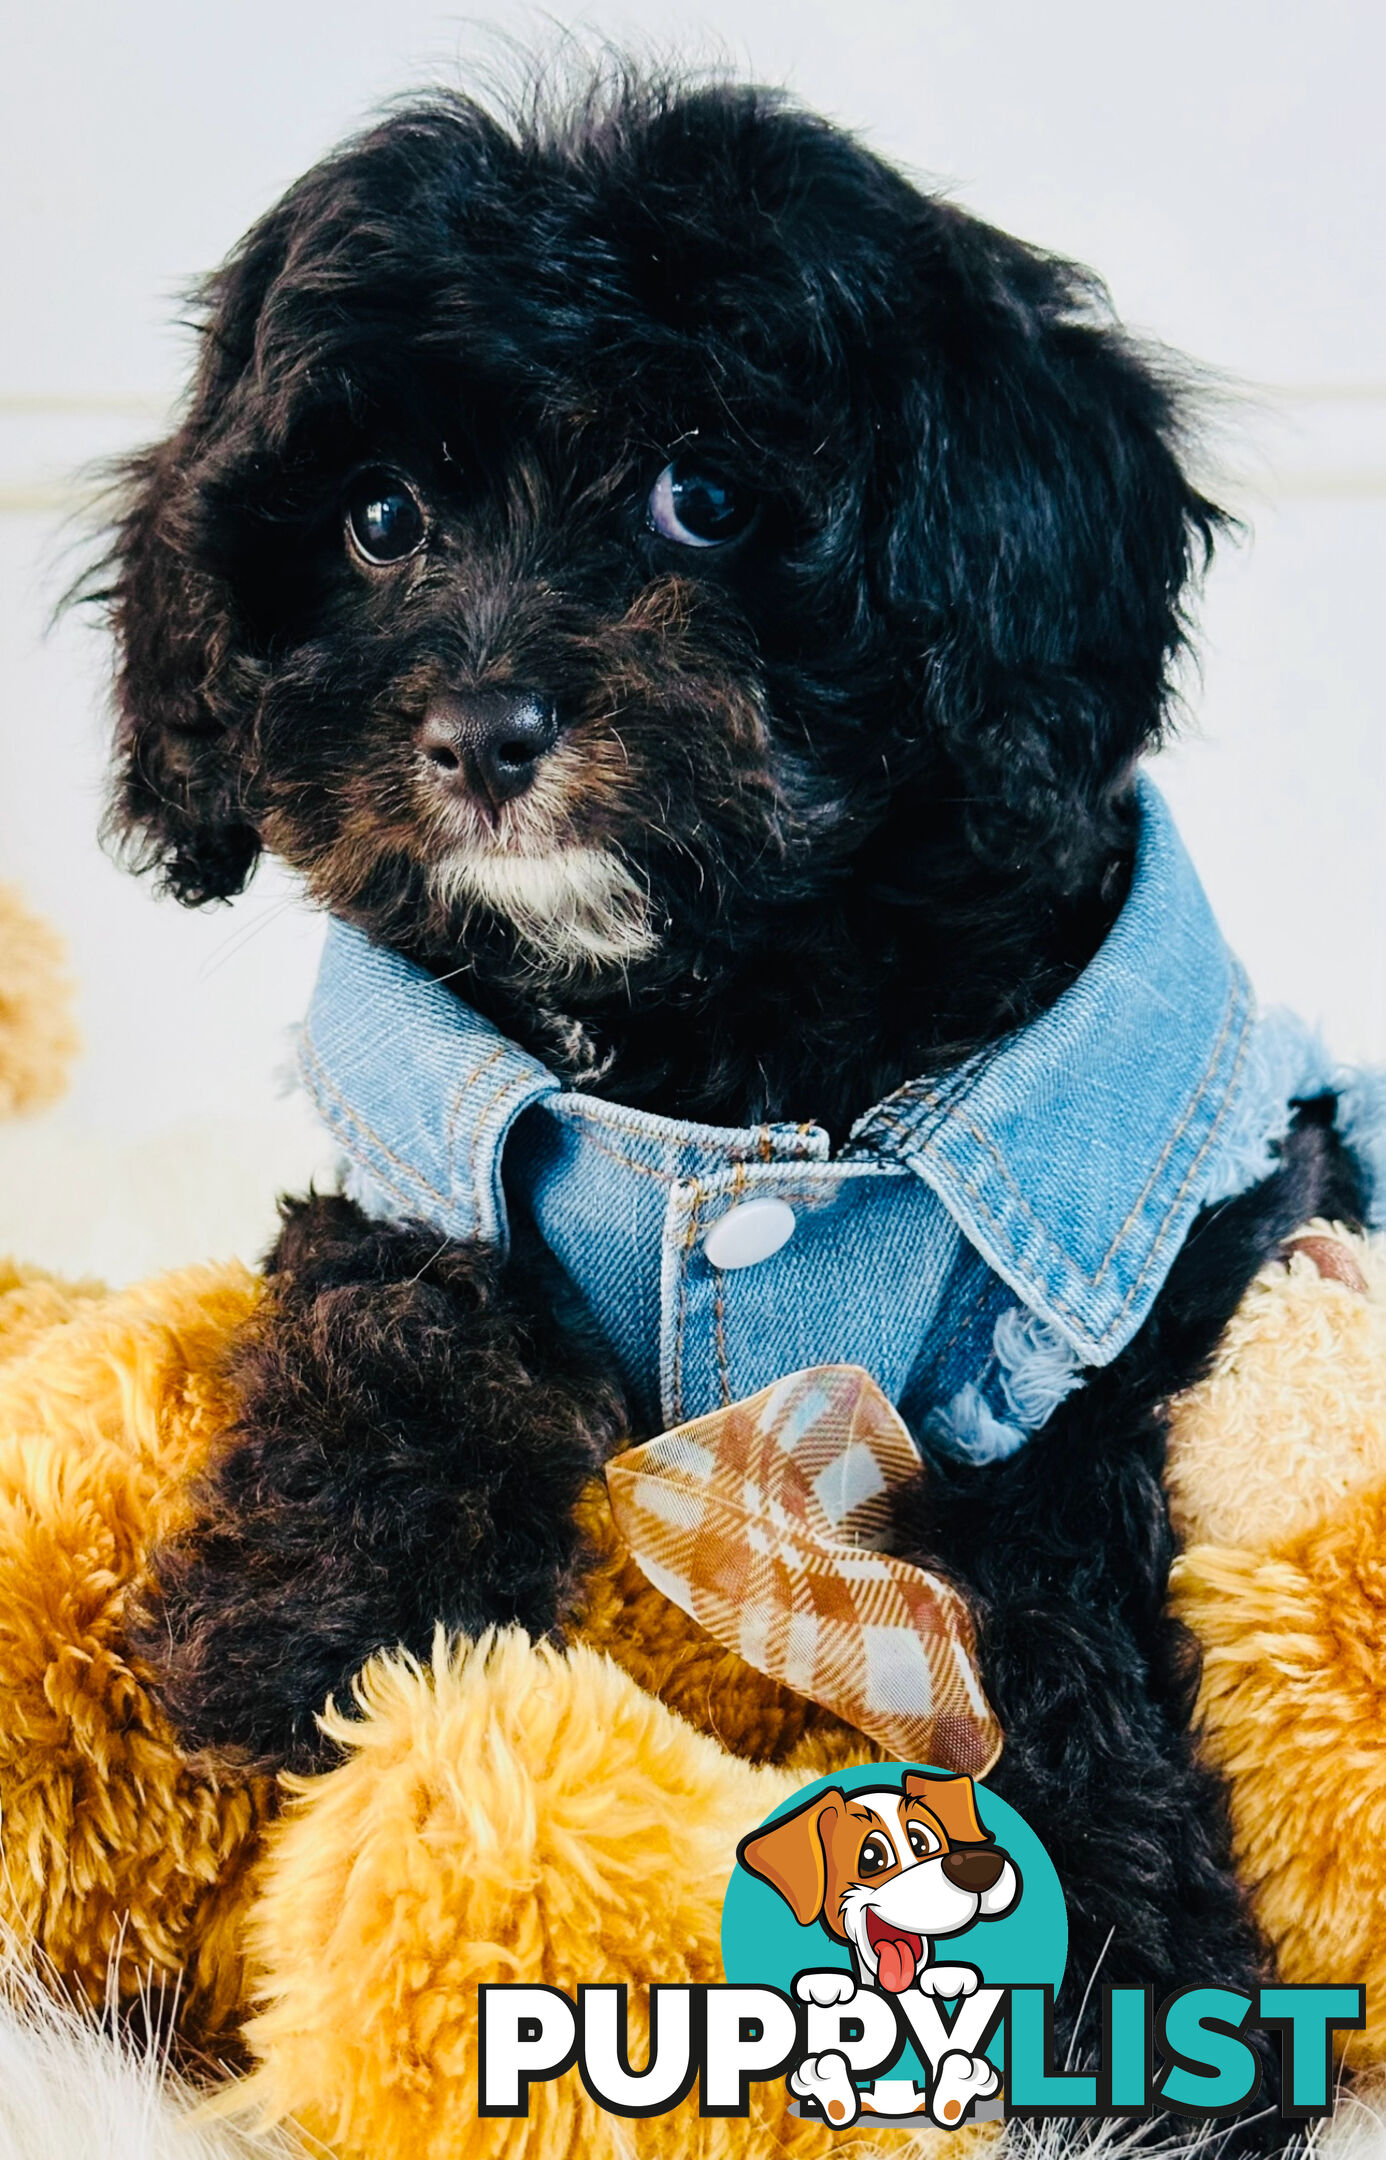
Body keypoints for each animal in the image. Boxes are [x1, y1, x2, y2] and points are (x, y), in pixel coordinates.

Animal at [94, 63, 1364, 2108]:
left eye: (703, 494)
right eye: (379, 519)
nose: (482, 732)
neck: (711, 1024)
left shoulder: (1123, 1291)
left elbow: (1049, 1585)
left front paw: (1138, 1974)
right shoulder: (418, 1152)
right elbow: (401, 1325)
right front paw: (286, 1640)